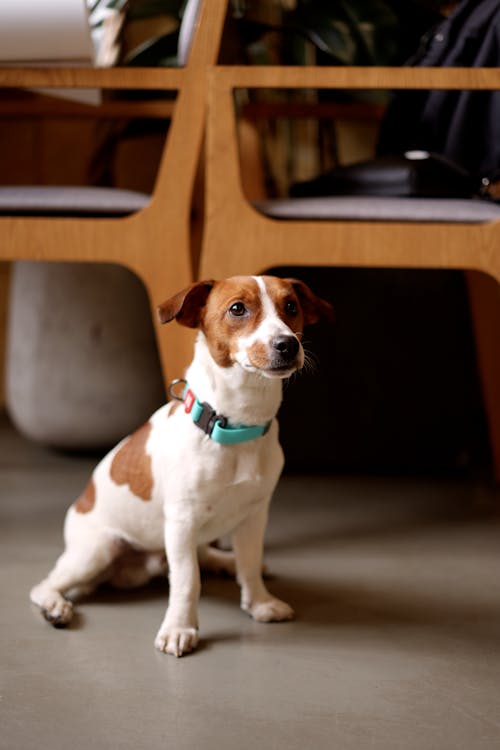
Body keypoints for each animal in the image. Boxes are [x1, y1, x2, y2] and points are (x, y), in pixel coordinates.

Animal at [28, 276, 332, 656]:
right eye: (237, 309)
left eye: (291, 306)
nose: (288, 345)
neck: (234, 426)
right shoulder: (182, 522)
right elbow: (188, 581)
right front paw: (179, 628)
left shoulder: (254, 516)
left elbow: (248, 564)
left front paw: (259, 602)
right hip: (96, 551)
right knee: (44, 584)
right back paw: (55, 606)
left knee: (211, 555)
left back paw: (223, 562)